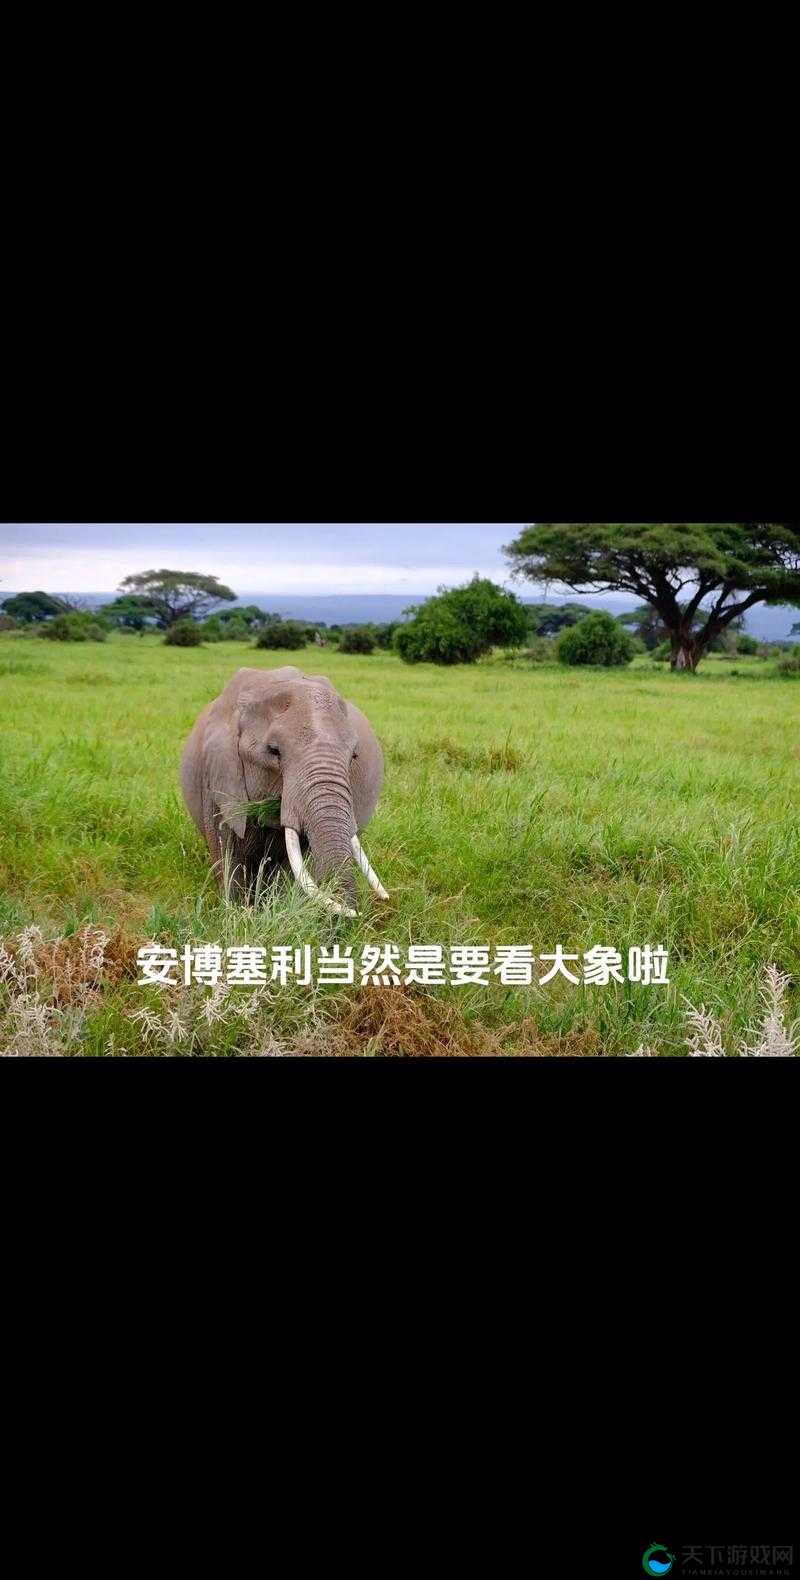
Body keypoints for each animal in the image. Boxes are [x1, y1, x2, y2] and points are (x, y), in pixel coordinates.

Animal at [180, 666, 388, 916]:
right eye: (273, 751)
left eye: (354, 756)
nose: (355, 914)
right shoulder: (217, 775)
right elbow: (228, 852)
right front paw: (238, 914)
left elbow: (289, 863)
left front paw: (272, 910)